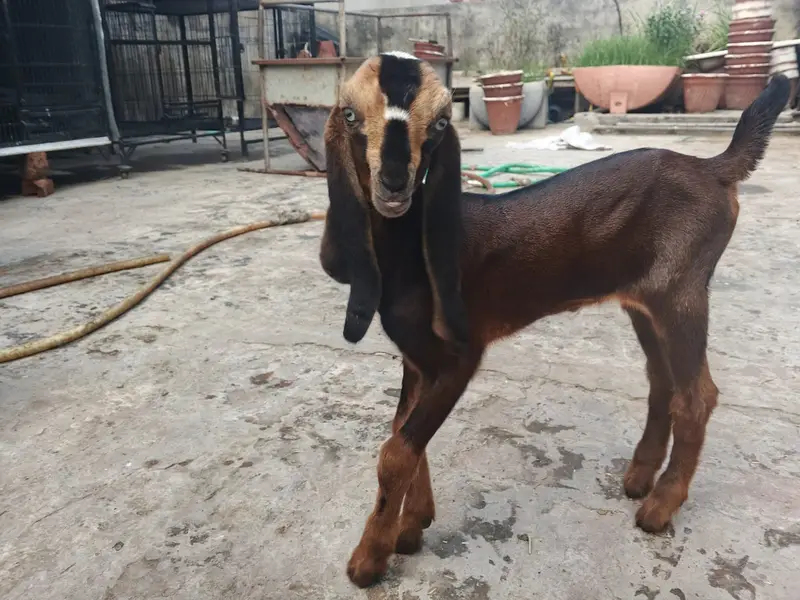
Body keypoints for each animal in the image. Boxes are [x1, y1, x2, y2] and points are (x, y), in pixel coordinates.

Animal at [319, 52, 790, 588]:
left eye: (440, 123)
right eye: (349, 115)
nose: (394, 184)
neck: (409, 252)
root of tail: (713, 168)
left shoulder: (459, 355)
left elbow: (396, 451)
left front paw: (369, 559)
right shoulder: (417, 360)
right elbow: (405, 434)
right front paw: (413, 524)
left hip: (682, 292)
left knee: (696, 396)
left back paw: (659, 506)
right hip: (644, 303)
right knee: (662, 382)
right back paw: (639, 478)